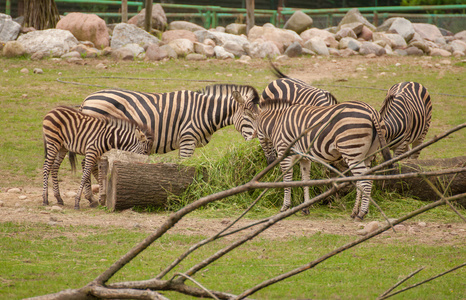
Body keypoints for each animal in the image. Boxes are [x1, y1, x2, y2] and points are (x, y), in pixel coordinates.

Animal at [80, 84, 260, 158]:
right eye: (248, 115)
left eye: (258, 115)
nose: (256, 139)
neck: (204, 111)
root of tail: (87, 99)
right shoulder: (187, 140)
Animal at [249, 99, 392, 219]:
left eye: (257, 134)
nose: (270, 161)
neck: (278, 123)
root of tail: (371, 110)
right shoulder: (304, 158)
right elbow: (305, 181)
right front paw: (305, 208)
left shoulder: (286, 153)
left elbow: (287, 180)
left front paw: (285, 207)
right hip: (368, 154)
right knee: (364, 179)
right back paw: (355, 212)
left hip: (351, 150)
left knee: (365, 180)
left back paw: (361, 213)